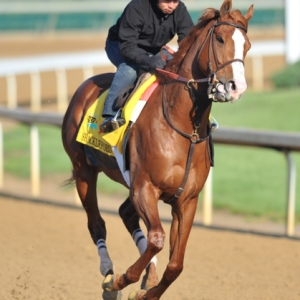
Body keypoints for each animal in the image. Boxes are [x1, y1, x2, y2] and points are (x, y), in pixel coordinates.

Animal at [61, 1, 253, 298]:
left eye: (248, 46)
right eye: (220, 39)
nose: (236, 87)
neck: (184, 127)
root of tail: (83, 88)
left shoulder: (187, 199)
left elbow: (175, 263)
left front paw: (148, 290)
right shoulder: (145, 187)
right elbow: (158, 238)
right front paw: (121, 280)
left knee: (126, 214)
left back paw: (147, 276)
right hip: (84, 170)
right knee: (97, 223)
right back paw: (109, 274)